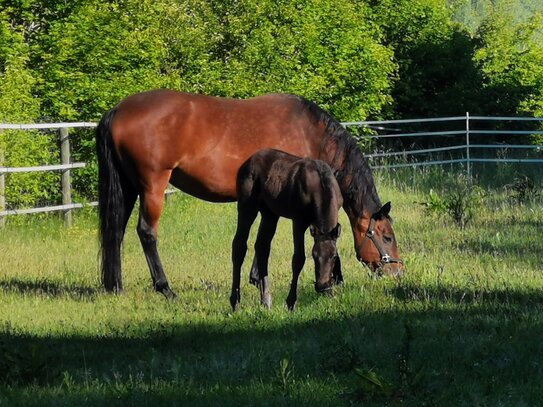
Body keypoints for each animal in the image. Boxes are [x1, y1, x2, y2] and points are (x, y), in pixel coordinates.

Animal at [231, 148, 342, 310]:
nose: (322, 286)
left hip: (270, 213)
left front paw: (333, 291)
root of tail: (246, 163)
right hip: (247, 206)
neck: (321, 186)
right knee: (239, 245)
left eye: (333, 257)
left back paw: (266, 300)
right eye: (314, 256)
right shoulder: (298, 221)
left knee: (262, 247)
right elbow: (298, 259)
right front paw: (291, 302)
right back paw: (235, 302)